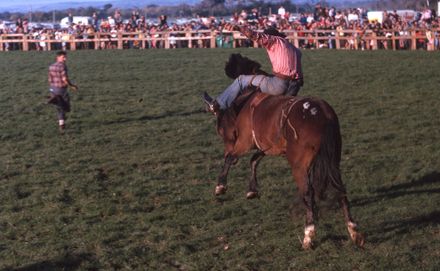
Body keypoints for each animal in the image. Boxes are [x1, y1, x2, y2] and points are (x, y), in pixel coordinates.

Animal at [208, 53, 362, 251]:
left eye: (220, 129)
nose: (225, 146)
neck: (246, 101)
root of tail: (322, 113)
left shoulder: (244, 142)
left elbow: (234, 158)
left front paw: (221, 186)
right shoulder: (268, 146)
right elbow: (254, 160)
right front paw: (252, 190)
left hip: (299, 166)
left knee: (308, 193)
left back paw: (308, 235)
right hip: (333, 161)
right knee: (340, 190)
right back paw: (354, 232)